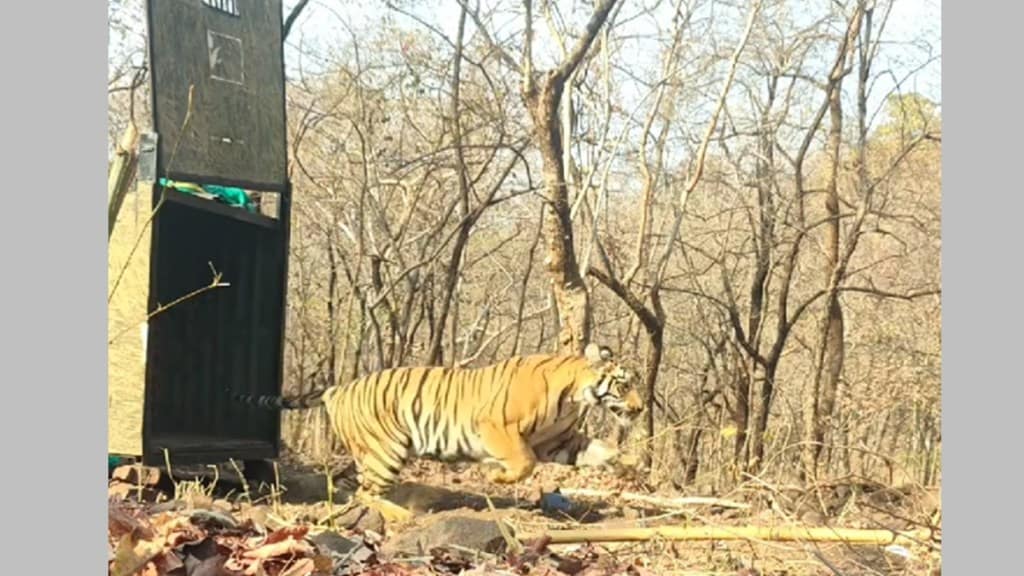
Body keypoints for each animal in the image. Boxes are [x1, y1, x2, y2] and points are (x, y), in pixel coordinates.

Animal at [235, 340, 643, 520]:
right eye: (624, 384)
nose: (639, 409)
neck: (575, 395)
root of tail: (338, 388)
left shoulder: (560, 441)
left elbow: (603, 451)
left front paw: (629, 465)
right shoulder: (498, 426)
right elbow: (523, 462)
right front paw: (495, 476)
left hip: (371, 454)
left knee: (351, 486)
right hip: (388, 450)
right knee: (366, 493)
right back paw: (403, 515)